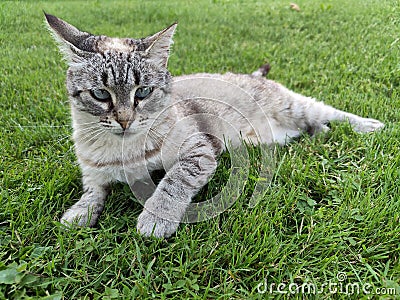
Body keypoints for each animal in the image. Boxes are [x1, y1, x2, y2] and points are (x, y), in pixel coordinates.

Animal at [44, 13, 384, 239]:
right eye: (101, 94)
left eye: (143, 92)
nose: (125, 120)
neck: (123, 149)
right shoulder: (93, 172)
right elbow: (93, 191)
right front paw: (79, 213)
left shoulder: (199, 151)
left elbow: (172, 183)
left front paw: (155, 218)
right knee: (313, 128)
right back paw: (322, 133)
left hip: (294, 107)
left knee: (329, 110)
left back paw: (369, 125)